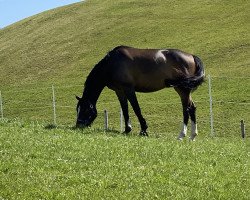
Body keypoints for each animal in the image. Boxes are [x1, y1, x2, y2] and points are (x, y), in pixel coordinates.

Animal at [75, 45, 204, 140]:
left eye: (85, 109)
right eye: (77, 109)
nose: (78, 126)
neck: (112, 64)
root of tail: (192, 56)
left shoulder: (129, 89)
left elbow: (136, 108)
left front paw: (143, 130)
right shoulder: (119, 91)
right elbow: (125, 109)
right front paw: (127, 129)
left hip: (183, 89)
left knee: (186, 109)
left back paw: (182, 135)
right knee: (192, 108)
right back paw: (192, 136)